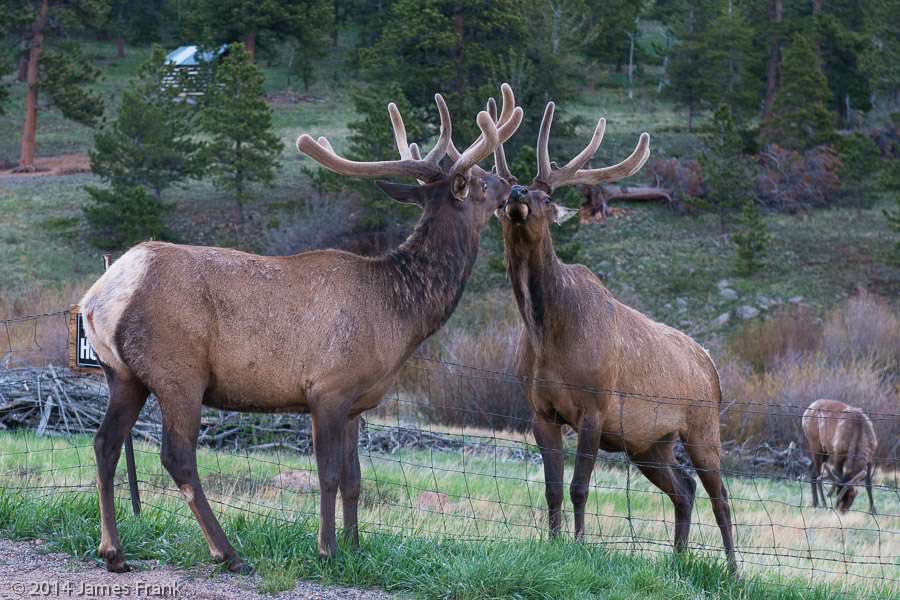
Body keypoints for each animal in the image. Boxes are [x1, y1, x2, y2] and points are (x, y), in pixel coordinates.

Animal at [81, 83, 524, 572]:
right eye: (481, 181)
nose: (514, 185)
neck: (399, 315)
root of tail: (101, 294)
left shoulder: (356, 402)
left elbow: (355, 477)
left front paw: (356, 546)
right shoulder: (327, 388)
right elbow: (328, 474)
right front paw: (327, 548)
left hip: (122, 374)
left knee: (104, 443)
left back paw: (113, 551)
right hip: (178, 372)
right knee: (177, 456)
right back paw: (227, 552)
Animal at [492, 101, 740, 576]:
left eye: (547, 198)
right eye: (502, 196)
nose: (516, 194)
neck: (549, 335)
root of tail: (712, 364)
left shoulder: (595, 406)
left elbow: (578, 486)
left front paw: (578, 545)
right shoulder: (540, 410)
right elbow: (552, 488)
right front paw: (552, 543)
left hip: (703, 426)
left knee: (720, 496)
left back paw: (735, 571)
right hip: (649, 443)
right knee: (683, 488)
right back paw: (677, 559)